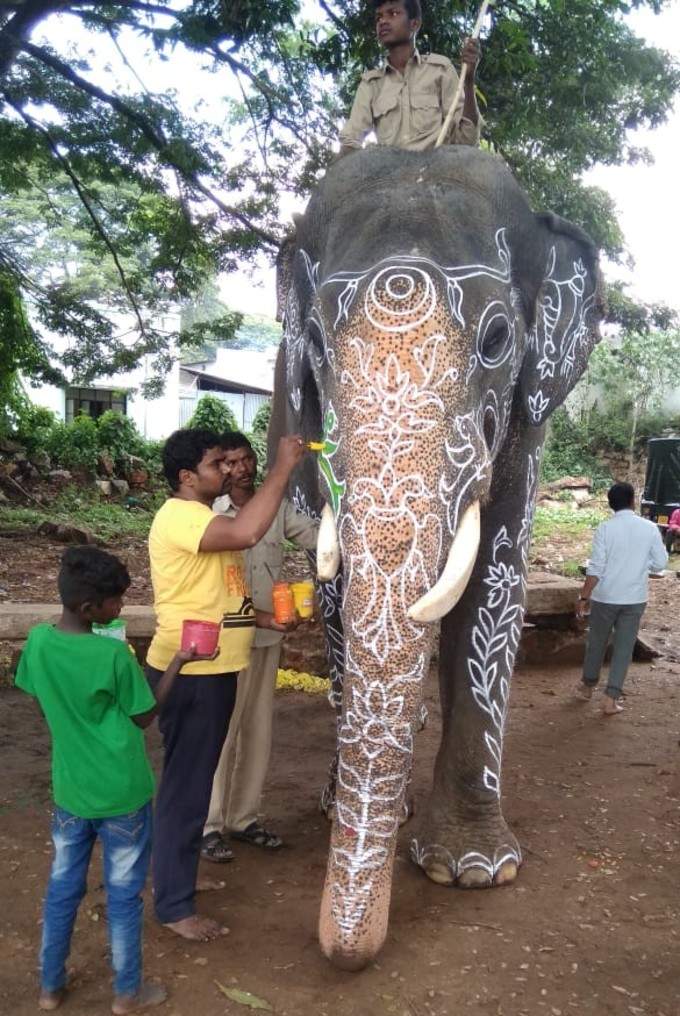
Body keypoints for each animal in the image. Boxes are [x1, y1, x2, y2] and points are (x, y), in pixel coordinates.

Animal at [268, 147, 601, 971]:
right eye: (314, 342)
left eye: (497, 340)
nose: (344, 953)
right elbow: (338, 590)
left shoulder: (528, 418)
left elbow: (496, 582)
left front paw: (474, 871)